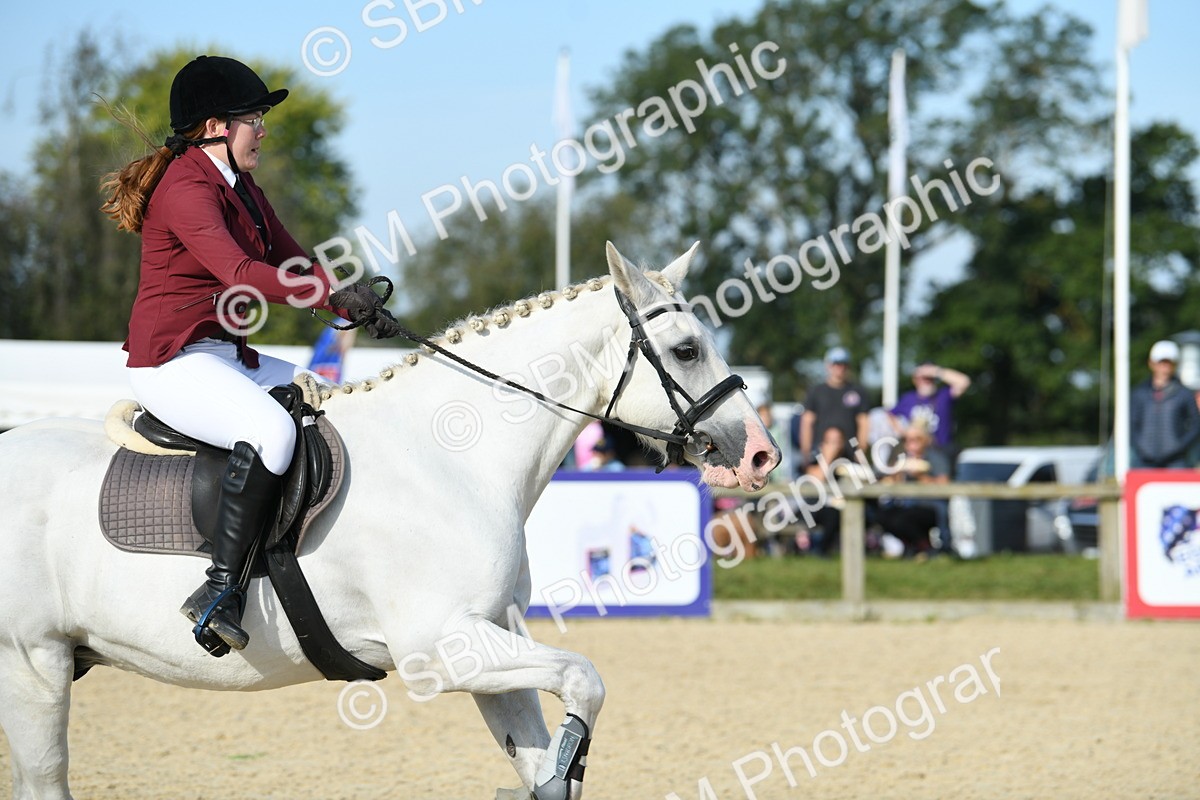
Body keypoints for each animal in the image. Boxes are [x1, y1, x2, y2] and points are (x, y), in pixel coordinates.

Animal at [0, 242, 780, 800]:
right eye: (686, 350)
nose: (762, 453)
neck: (452, 454)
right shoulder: (440, 650)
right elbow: (585, 679)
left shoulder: (488, 642)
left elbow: (540, 758)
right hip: (32, 664)